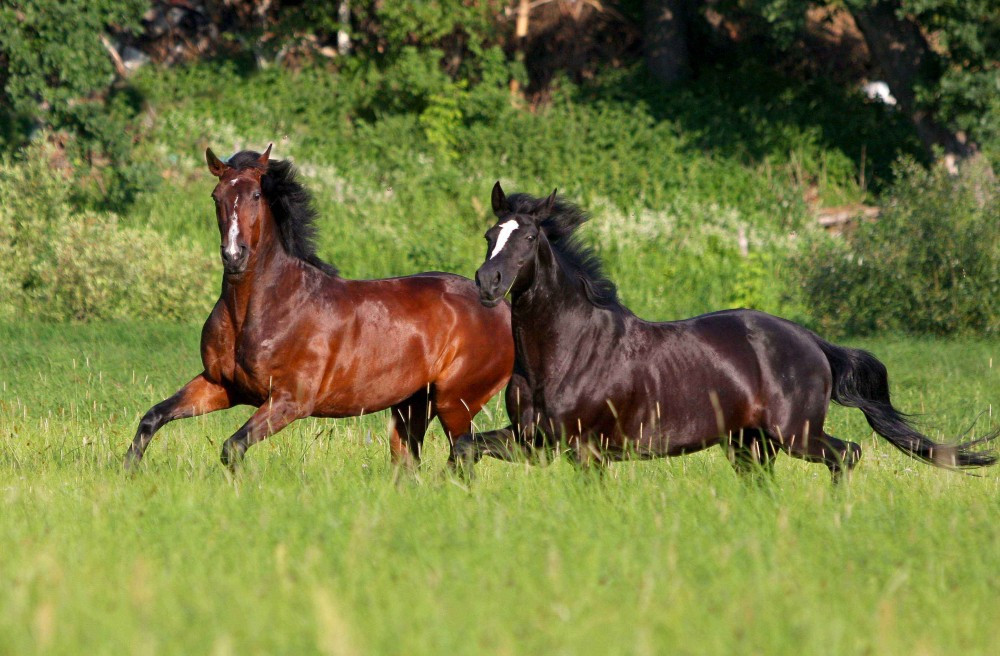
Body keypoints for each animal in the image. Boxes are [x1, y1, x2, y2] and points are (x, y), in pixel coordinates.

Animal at [123, 146, 516, 468]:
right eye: (216, 195)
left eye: (255, 194)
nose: (234, 256)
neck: (264, 309)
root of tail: (502, 308)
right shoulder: (221, 386)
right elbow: (152, 417)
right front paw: (129, 471)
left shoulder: (290, 401)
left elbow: (232, 447)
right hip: (412, 405)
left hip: (456, 402)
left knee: (464, 453)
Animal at [452, 184, 992, 482]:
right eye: (489, 235)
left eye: (528, 237)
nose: (488, 281)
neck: (567, 352)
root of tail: (813, 342)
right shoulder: (533, 441)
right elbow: (464, 448)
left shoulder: (585, 448)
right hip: (750, 444)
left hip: (795, 433)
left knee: (848, 454)